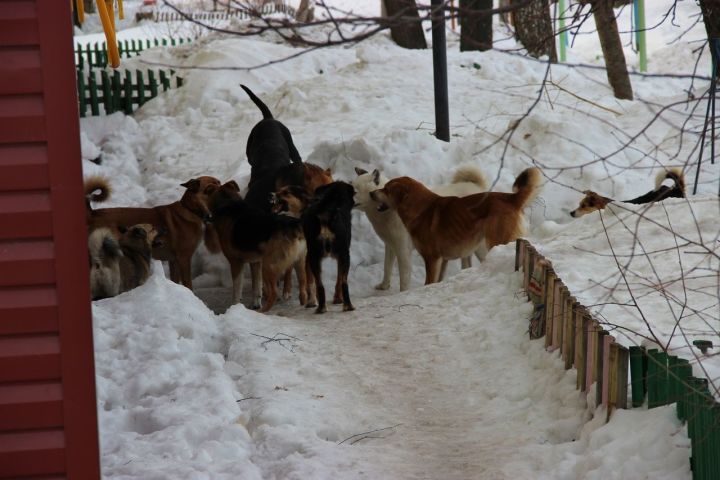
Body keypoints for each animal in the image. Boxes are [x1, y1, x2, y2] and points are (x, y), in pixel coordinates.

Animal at [84, 176, 221, 288]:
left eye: (220, 183)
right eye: (210, 189)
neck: (191, 210)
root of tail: (92, 213)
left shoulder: (174, 261)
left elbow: (175, 279)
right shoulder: (183, 259)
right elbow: (188, 284)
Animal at [300, 182, 354, 314]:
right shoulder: (342, 256)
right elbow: (339, 279)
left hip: (313, 257)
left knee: (320, 284)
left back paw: (321, 308)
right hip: (344, 255)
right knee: (343, 282)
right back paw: (348, 306)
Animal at [354, 165, 490, 292]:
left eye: (354, 190)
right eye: (351, 186)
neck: (389, 214)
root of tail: (476, 187)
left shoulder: (403, 251)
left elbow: (404, 279)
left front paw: (403, 294)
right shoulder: (390, 246)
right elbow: (386, 267)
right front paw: (384, 285)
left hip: (478, 247)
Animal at [372, 167, 540, 284]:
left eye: (386, 189)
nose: (371, 193)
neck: (420, 208)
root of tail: (511, 198)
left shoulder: (432, 259)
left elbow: (428, 282)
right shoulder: (443, 260)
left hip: (497, 240)